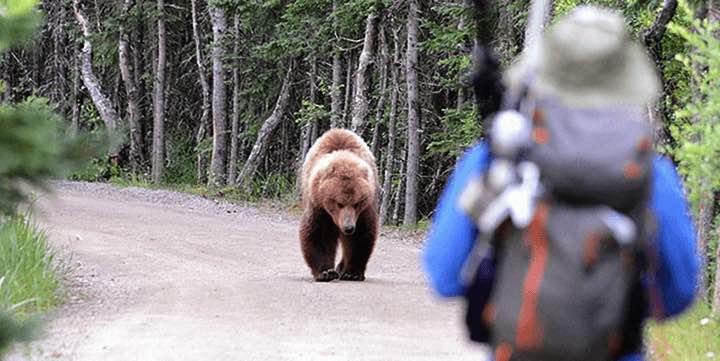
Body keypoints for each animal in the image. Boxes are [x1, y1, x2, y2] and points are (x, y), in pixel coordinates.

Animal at [298, 127, 380, 282]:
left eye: (357, 203)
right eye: (339, 203)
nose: (348, 227)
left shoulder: (364, 210)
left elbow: (360, 235)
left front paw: (352, 272)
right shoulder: (319, 206)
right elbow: (319, 234)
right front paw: (325, 272)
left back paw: (341, 267)